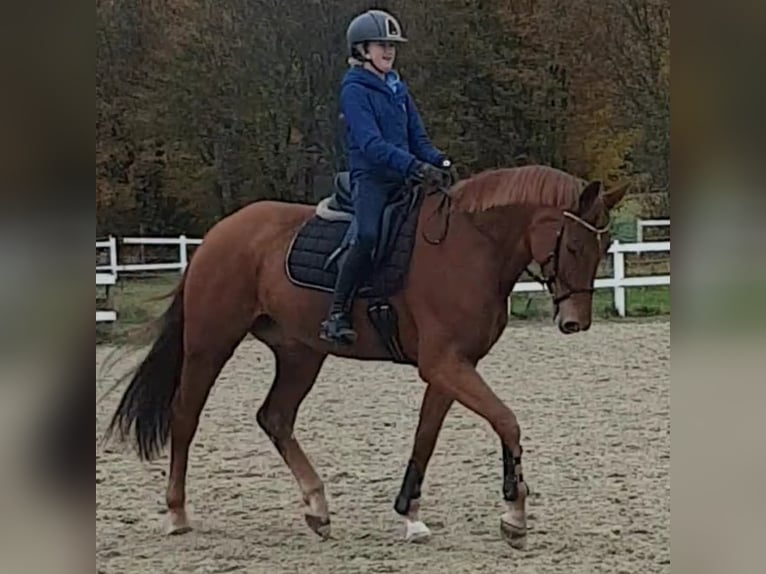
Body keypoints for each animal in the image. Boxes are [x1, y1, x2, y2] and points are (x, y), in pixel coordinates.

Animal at [102, 164, 632, 552]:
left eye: (605, 244)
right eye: (575, 244)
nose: (575, 322)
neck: (471, 247)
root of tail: (218, 234)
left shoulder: (452, 367)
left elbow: (426, 437)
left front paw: (411, 514)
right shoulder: (445, 364)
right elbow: (507, 421)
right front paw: (515, 512)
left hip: (300, 353)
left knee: (275, 417)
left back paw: (317, 507)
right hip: (210, 344)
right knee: (185, 416)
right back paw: (177, 512)